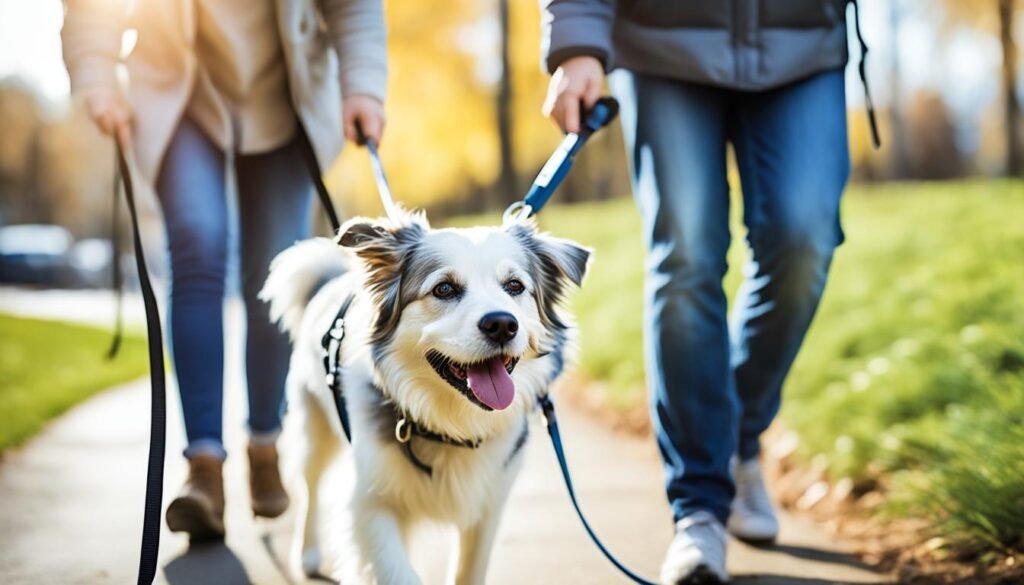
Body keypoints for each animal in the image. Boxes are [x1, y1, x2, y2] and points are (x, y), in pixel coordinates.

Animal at [260, 212, 589, 585]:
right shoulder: (368, 501)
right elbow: (397, 573)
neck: (451, 424)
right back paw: (308, 553)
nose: (503, 325)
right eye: (444, 288)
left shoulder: (488, 507)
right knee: (310, 487)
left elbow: (469, 572)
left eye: (515, 286)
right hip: (313, 427)